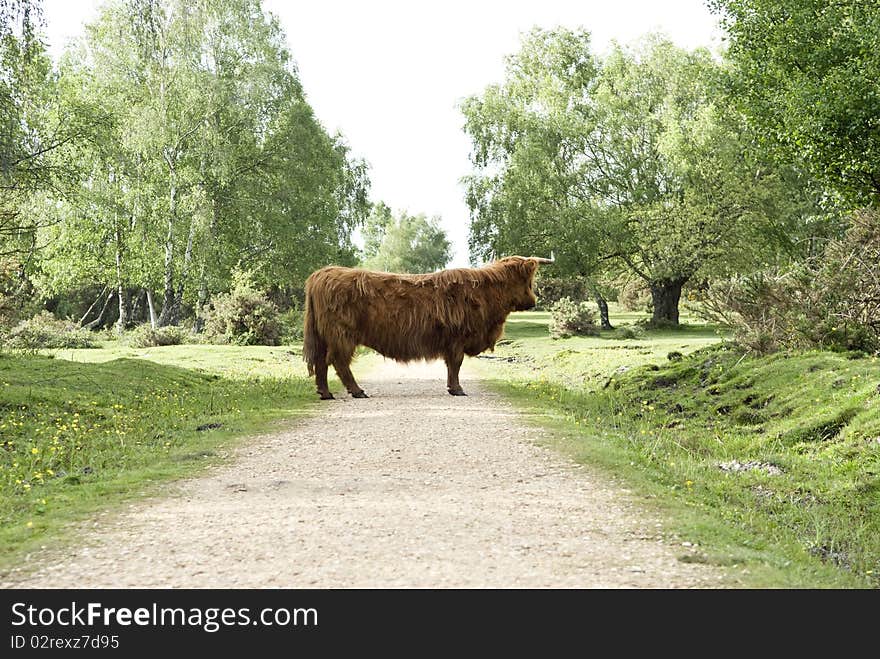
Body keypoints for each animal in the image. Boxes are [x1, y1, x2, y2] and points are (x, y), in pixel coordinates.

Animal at [302, 256, 552, 400]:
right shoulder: (457, 339)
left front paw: (452, 388)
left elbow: (452, 366)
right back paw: (357, 391)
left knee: (321, 362)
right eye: (529, 281)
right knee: (338, 362)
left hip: (324, 337)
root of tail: (321, 274)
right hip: (341, 335)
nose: (534, 301)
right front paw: (457, 389)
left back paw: (325, 393)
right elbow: (456, 364)